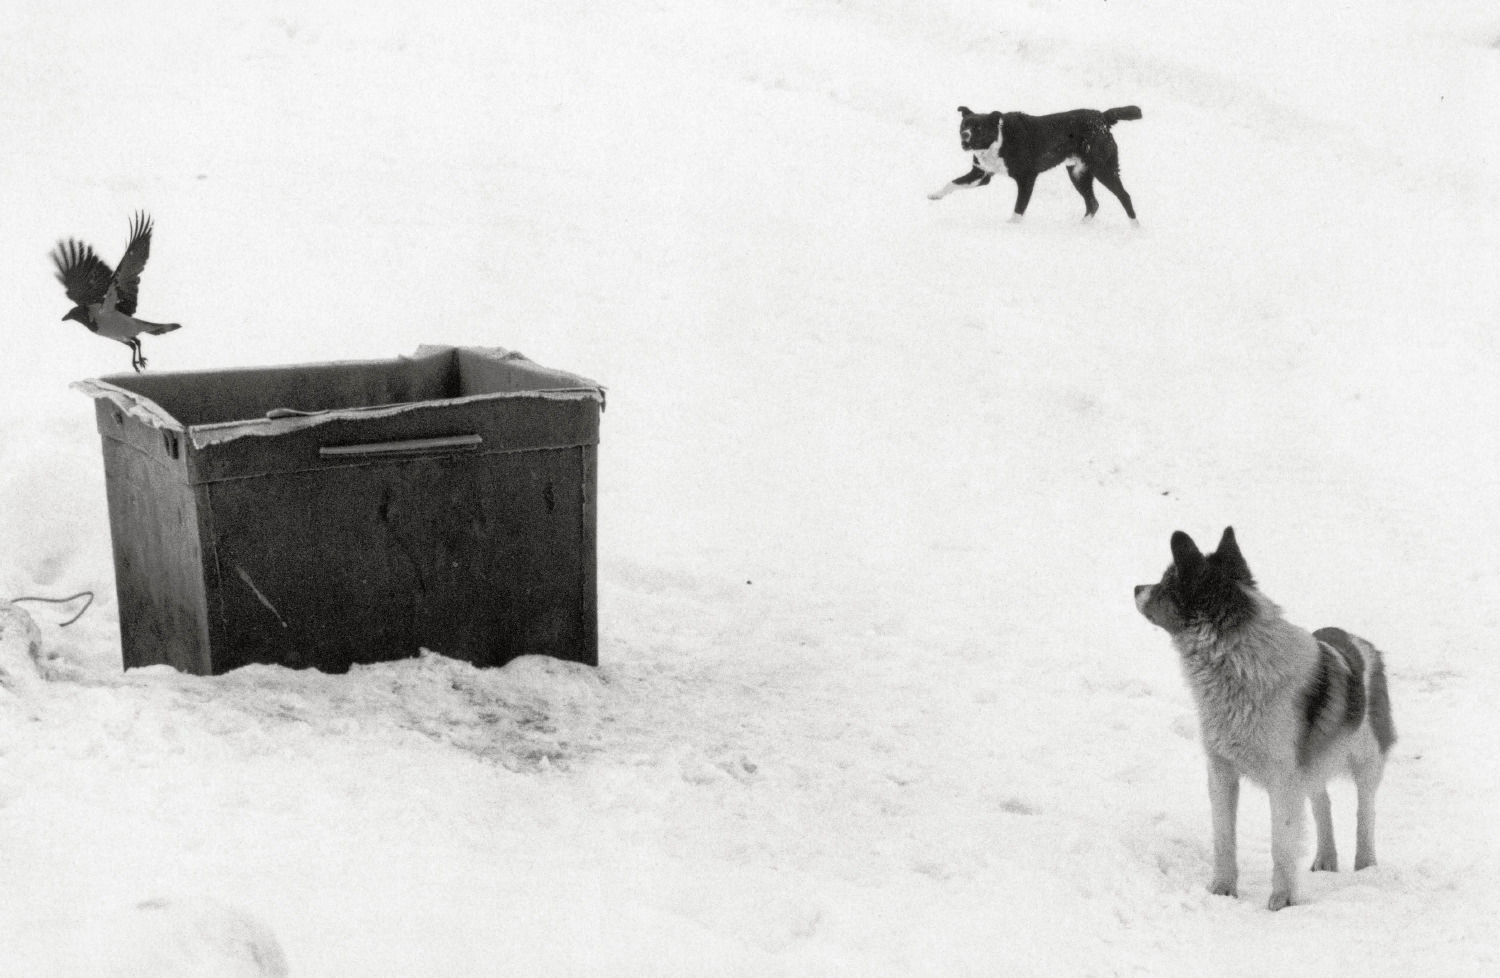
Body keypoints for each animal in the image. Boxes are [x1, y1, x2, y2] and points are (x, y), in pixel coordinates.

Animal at [930, 105, 1140, 225]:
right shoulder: (981, 175)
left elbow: (1019, 208)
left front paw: (1010, 227)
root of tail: (1102, 117)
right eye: (964, 125)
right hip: (1078, 173)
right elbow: (953, 183)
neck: (999, 140)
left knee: (1124, 196)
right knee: (1093, 203)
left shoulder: (1026, 178)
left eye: (978, 127)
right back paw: (1081, 226)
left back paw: (1135, 227)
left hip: (1102, 168)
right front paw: (935, 195)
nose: (964, 136)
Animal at [1134, 528, 1392, 912]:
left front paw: (1282, 902)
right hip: (1314, 765)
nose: (1136, 588)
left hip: (1366, 761)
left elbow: (1281, 844)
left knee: (1366, 813)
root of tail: (1357, 640)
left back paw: (1365, 868)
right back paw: (1326, 860)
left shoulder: (1283, 780)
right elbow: (1224, 837)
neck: (1237, 662)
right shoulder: (1221, 773)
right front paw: (1221, 891)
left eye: (1167, 581)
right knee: (1323, 803)